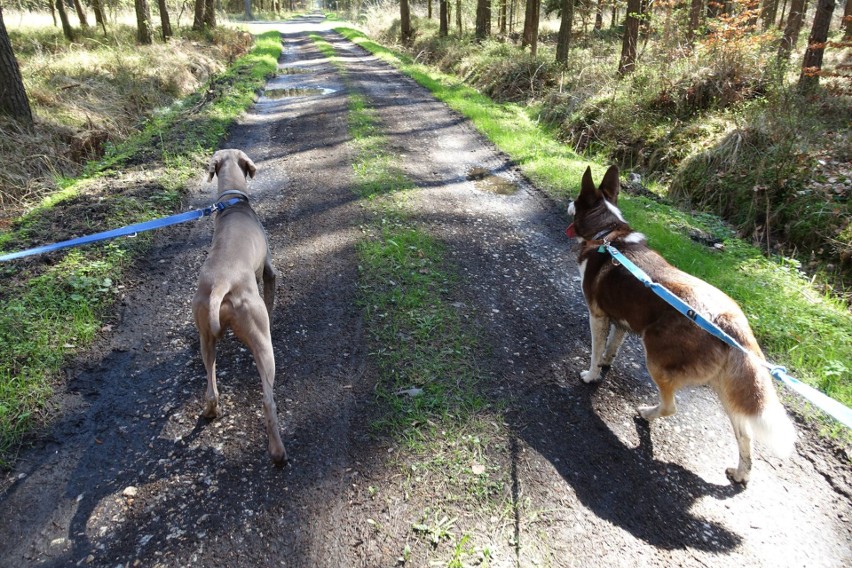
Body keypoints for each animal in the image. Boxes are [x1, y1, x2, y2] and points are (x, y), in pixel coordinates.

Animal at [192, 149, 286, 464]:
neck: (232, 203)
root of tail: (222, 283)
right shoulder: (269, 271)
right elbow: (270, 298)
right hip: (262, 343)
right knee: (268, 401)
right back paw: (278, 452)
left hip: (205, 337)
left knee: (210, 385)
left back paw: (210, 411)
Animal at [568, 164, 796, 484]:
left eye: (576, 201)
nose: (567, 202)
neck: (607, 234)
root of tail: (730, 323)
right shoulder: (622, 322)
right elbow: (612, 347)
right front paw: (605, 365)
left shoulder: (597, 315)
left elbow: (595, 350)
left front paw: (591, 375)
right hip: (726, 388)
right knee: (745, 434)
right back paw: (740, 473)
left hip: (657, 360)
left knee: (670, 406)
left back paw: (647, 413)